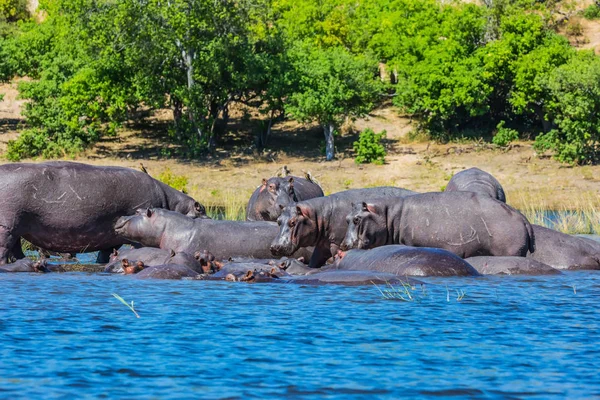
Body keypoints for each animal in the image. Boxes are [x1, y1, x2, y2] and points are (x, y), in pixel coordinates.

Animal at [0, 161, 209, 264]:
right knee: (5, 249)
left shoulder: (109, 239)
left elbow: (104, 256)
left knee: (16, 251)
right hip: (7, 226)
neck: (173, 205)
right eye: (201, 210)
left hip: (17, 229)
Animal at [272, 187, 418, 268]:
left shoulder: (336, 244)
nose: (274, 247)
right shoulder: (323, 245)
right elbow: (314, 262)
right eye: (278, 221)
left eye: (292, 222)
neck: (318, 215)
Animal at [342, 191, 536, 260]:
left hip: (511, 250)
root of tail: (521, 217)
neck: (388, 214)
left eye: (357, 219)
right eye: (346, 218)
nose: (343, 244)